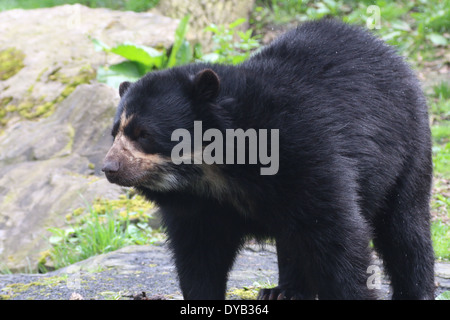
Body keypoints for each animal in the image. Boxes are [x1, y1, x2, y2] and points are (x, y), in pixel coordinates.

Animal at [103, 18, 436, 300]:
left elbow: (338, 236)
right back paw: (283, 291)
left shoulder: (305, 153)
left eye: (143, 133)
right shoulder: (199, 205)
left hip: (408, 148)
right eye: (114, 132)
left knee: (404, 227)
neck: (214, 168)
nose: (110, 168)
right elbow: (199, 254)